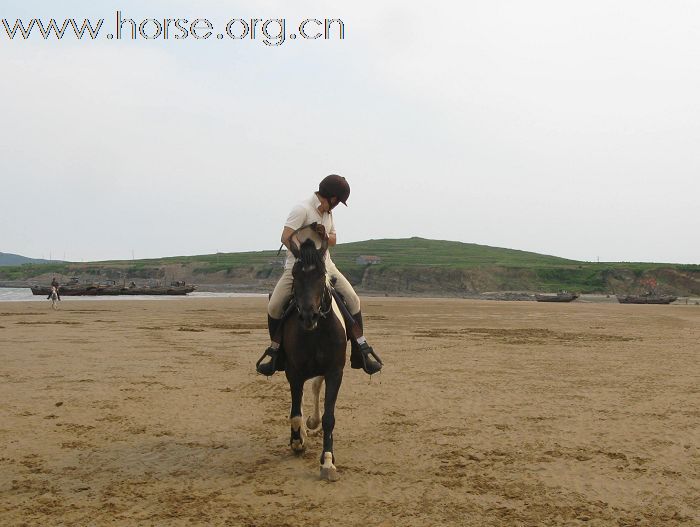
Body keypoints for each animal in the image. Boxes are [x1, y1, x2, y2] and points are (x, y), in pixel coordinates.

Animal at [284, 239, 348, 482]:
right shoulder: (293, 372)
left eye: (321, 275)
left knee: (314, 386)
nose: (308, 316)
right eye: (295, 274)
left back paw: (313, 421)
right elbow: (295, 415)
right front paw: (297, 442)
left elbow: (329, 417)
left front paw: (328, 462)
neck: (316, 332)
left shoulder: (334, 372)